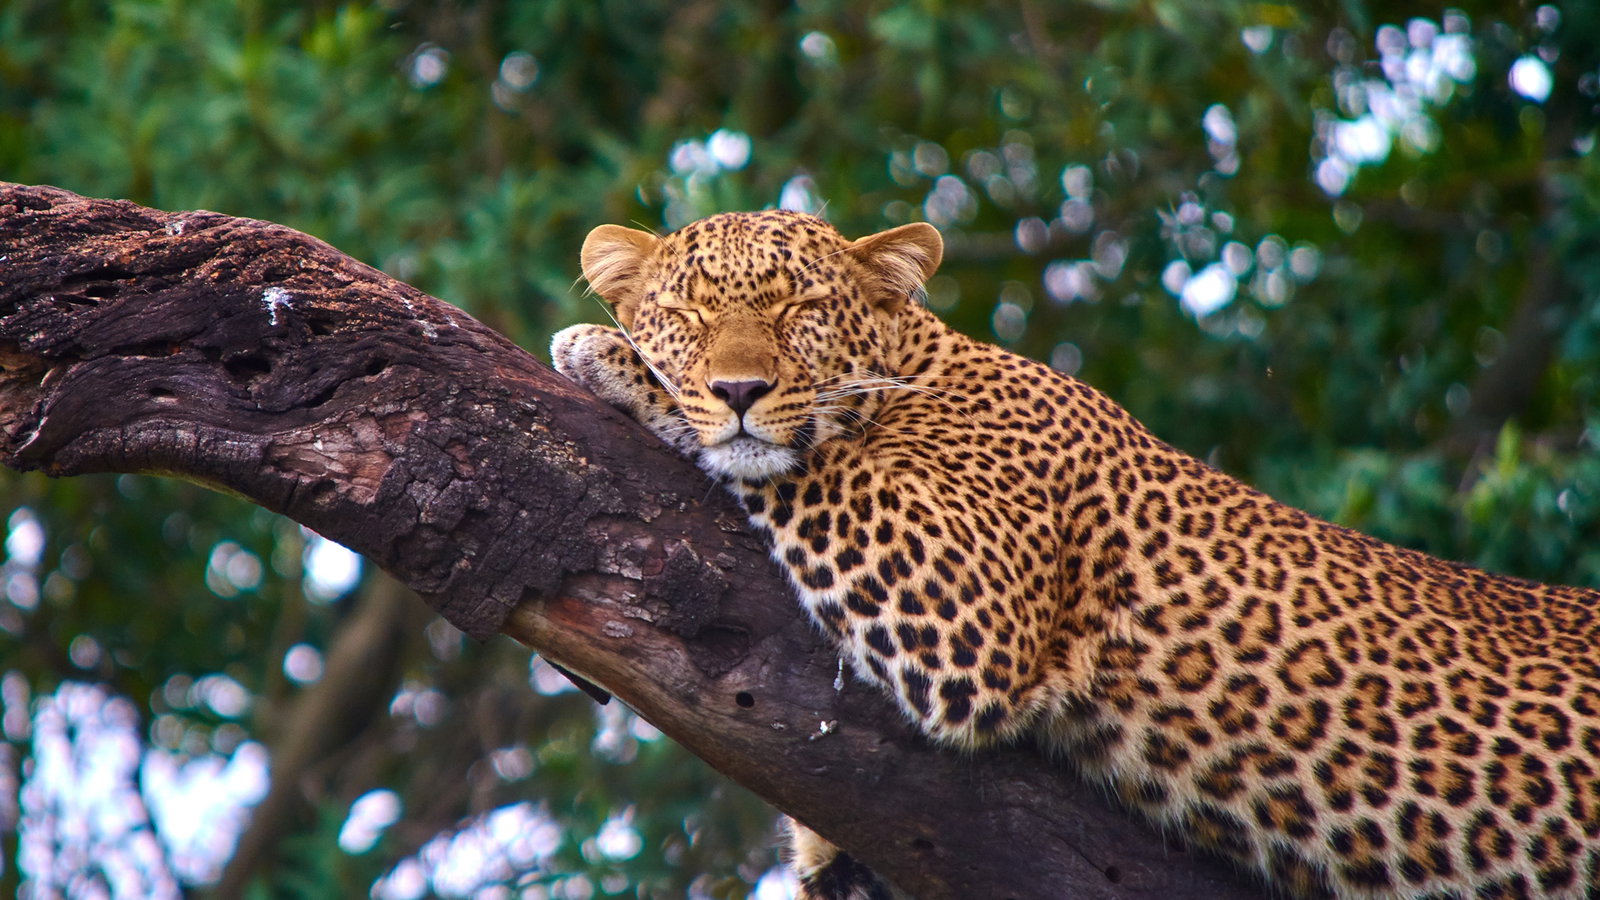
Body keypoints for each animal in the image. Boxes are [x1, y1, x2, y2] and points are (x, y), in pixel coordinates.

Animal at [551, 208, 1600, 899]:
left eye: (800, 306)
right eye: (688, 314)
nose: (736, 389)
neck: (922, 367)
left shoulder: (964, 598)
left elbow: (809, 457)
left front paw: (606, 356)